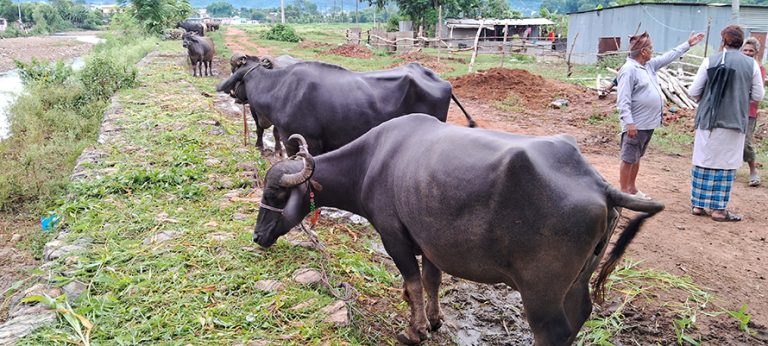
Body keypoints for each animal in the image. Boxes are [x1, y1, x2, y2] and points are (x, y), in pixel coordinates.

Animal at [255, 114, 664, 346]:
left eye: (275, 193)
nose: (258, 236)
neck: (372, 163)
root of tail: (600, 185)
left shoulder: (394, 238)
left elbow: (412, 284)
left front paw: (414, 331)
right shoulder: (430, 244)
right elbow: (432, 281)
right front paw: (435, 321)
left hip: (541, 291)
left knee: (553, 332)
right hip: (578, 280)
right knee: (580, 315)